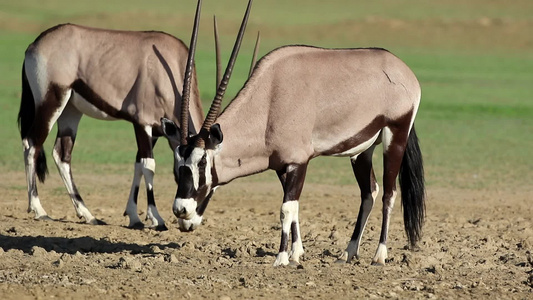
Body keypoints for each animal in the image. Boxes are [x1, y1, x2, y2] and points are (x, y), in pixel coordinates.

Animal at [16, 1, 210, 230]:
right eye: (185, 171)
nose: (187, 221)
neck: (169, 66)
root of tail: (34, 45)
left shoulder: (156, 130)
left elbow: (138, 165)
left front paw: (134, 217)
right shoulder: (142, 122)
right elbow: (149, 166)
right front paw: (156, 219)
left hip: (71, 110)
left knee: (61, 154)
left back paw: (88, 214)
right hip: (51, 101)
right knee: (31, 145)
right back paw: (39, 209)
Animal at [162, 0, 424, 268]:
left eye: (203, 161)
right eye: (178, 163)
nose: (181, 210)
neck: (269, 100)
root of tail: (404, 71)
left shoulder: (299, 161)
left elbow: (286, 209)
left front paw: (281, 257)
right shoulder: (282, 165)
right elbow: (294, 206)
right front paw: (297, 253)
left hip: (395, 135)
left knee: (390, 193)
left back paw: (380, 255)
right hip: (362, 150)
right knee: (369, 192)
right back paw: (349, 252)